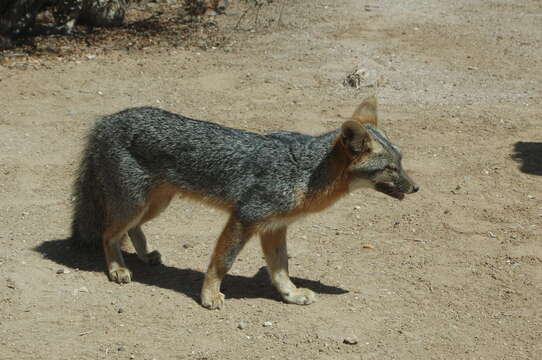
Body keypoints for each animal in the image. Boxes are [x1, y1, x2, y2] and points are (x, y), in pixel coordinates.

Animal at [71, 96, 420, 310]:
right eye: (390, 168)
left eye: (401, 162)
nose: (416, 187)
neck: (306, 172)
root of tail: (108, 120)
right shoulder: (244, 218)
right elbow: (222, 262)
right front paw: (209, 295)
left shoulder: (274, 228)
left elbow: (280, 268)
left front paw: (291, 294)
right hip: (135, 204)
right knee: (108, 234)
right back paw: (117, 268)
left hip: (155, 204)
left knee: (131, 230)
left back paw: (143, 256)